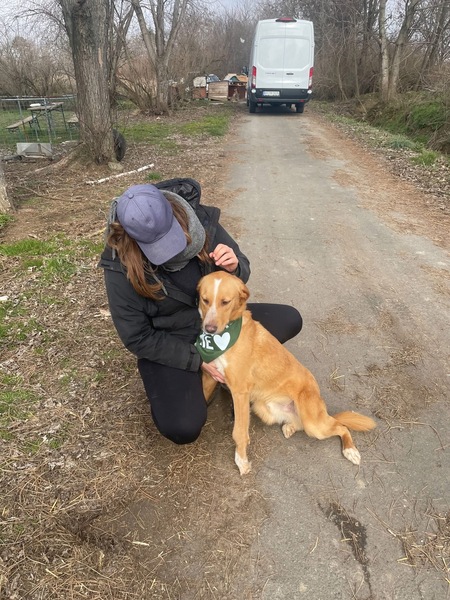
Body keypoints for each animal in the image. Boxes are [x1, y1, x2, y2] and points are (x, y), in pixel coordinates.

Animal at [197, 271, 376, 475]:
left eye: (225, 302)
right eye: (205, 300)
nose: (209, 329)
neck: (227, 336)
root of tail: (322, 409)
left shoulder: (240, 392)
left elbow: (239, 432)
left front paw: (241, 461)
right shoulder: (210, 377)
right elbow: (203, 398)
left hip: (315, 424)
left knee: (341, 426)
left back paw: (350, 450)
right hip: (263, 408)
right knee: (300, 424)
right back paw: (290, 426)